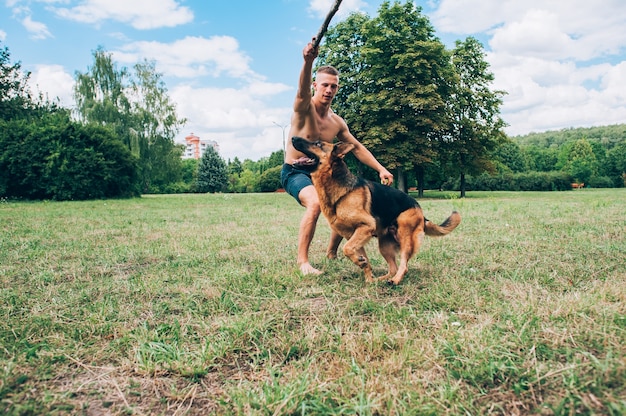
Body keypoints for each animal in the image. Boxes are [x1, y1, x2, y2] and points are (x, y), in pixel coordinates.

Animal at [292, 136, 458, 286]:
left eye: (318, 144)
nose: (293, 138)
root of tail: (421, 212)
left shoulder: (365, 226)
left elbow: (346, 248)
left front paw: (363, 266)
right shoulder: (354, 235)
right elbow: (358, 255)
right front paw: (368, 277)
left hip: (405, 237)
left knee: (403, 266)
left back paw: (395, 280)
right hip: (384, 246)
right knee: (393, 267)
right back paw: (381, 279)